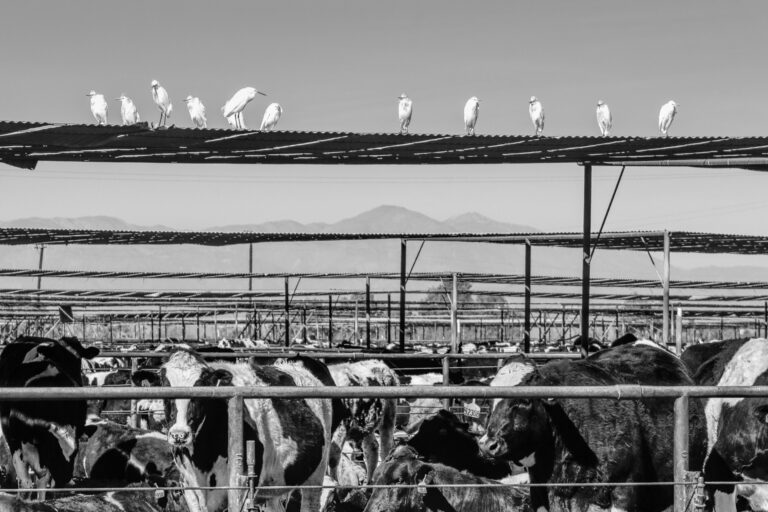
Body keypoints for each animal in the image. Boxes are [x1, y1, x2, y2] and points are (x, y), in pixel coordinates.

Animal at [0, 336, 99, 497]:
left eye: (75, 452)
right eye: (54, 451)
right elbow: (26, 482)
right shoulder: (16, 441)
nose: (64, 478)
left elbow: (42, 481)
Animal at [160, 349, 333, 512]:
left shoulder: (241, 484)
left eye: (201, 391)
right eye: (166, 390)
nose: (179, 434)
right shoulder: (188, 486)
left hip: (317, 474)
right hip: (272, 487)